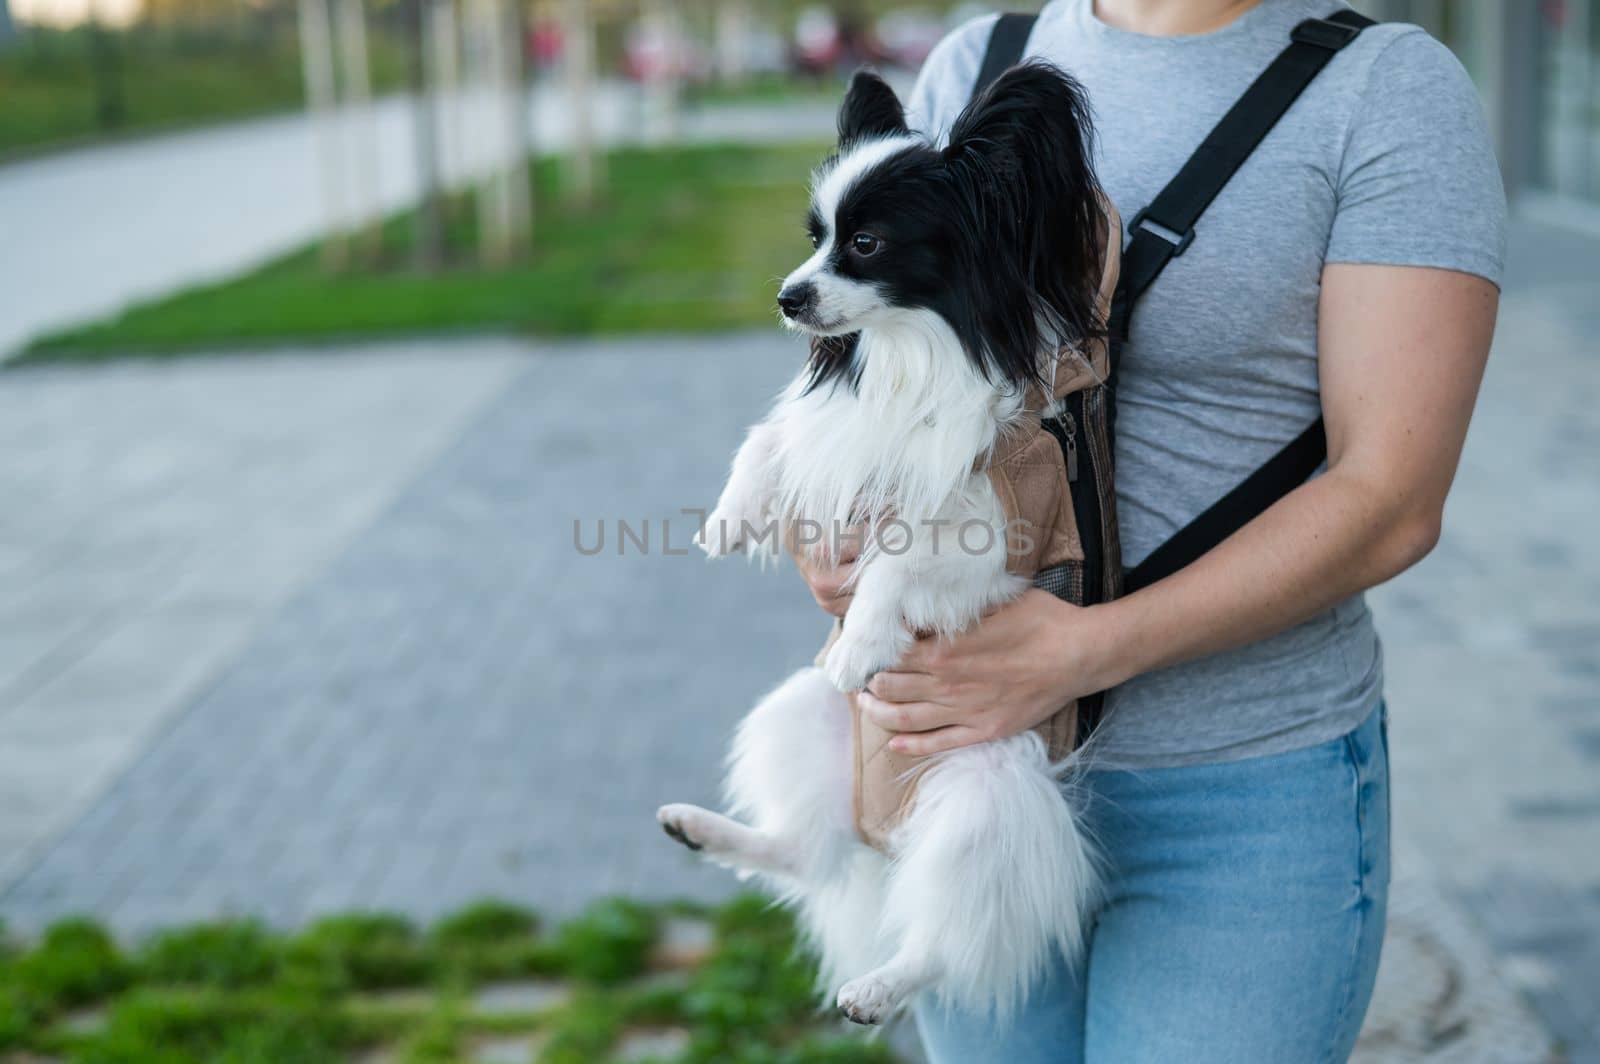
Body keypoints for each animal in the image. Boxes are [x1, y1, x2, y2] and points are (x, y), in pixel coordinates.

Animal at [656, 64, 1107, 1024]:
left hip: (985, 801)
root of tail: (888, 833)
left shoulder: (995, 534)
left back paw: (879, 986)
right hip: (799, 714)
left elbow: (900, 553)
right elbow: (773, 437)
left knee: (951, 939)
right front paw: (729, 518)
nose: (787, 296)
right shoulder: (840, 444)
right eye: (815, 238)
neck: (909, 355)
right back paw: (703, 829)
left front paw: (863, 642)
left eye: (865, 243)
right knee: (810, 855)